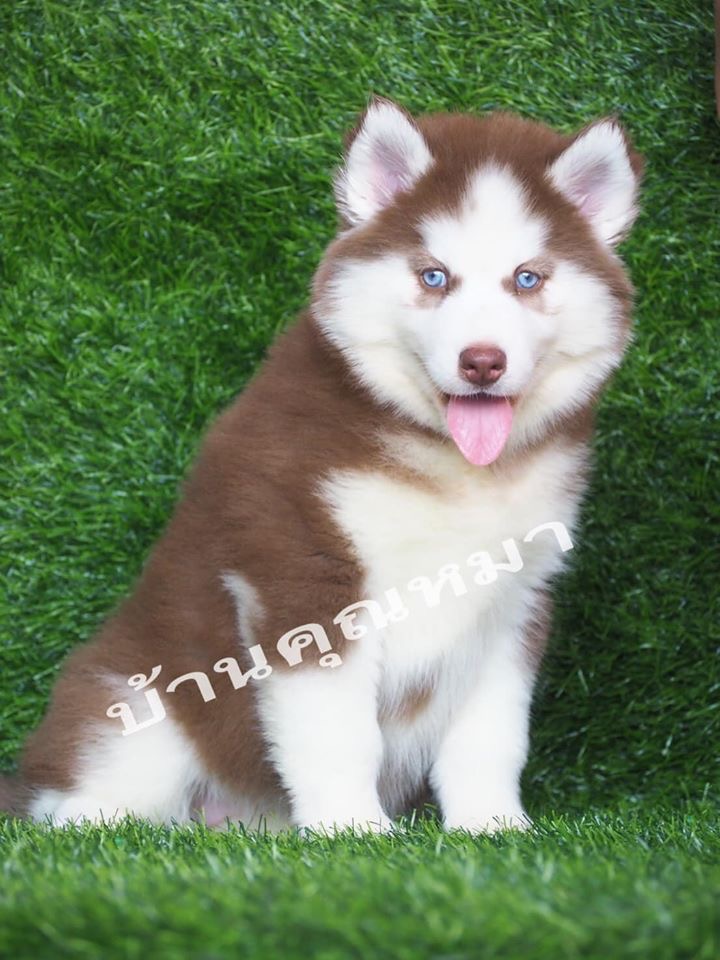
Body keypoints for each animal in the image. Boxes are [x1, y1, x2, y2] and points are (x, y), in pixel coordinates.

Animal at [1, 98, 643, 832]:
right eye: (434, 276)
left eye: (527, 278)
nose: (483, 361)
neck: (450, 469)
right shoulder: (305, 573)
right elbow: (338, 732)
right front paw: (351, 831)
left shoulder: (513, 603)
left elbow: (491, 736)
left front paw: (494, 825)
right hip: (134, 714)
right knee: (79, 808)